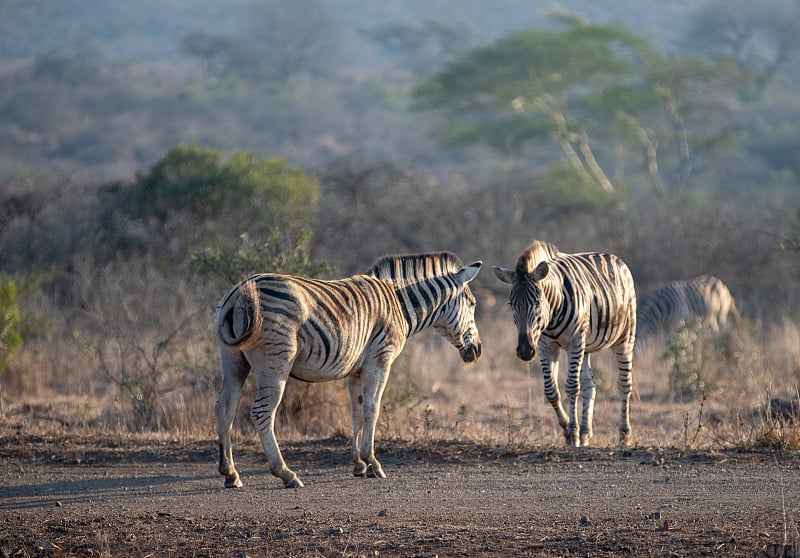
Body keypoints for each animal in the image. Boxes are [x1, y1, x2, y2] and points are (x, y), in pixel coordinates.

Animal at [212, 253, 482, 490]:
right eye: (472, 304)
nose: (477, 351)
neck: (399, 304)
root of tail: (240, 291)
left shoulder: (356, 370)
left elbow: (356, 412)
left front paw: (358, 464)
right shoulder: (379, 360)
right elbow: (372, 409)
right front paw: (373, 463)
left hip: (232, 359)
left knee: (224, 408)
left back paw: (230, 474)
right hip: (275, 363)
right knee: (261, 413)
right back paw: (286, 473)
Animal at [490, 240, 636, 446]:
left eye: (537, 302)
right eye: (511, 304)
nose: (525, 351)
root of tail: (613, 257)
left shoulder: (573, 342)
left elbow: (572, 387)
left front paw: (573, 433)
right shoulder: (545, 346)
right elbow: (551, 391)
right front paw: (568, 429)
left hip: (624, 336)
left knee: (624, 384)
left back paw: (624, 435)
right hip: (585, 346)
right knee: (590, 385)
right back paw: (586, 433)